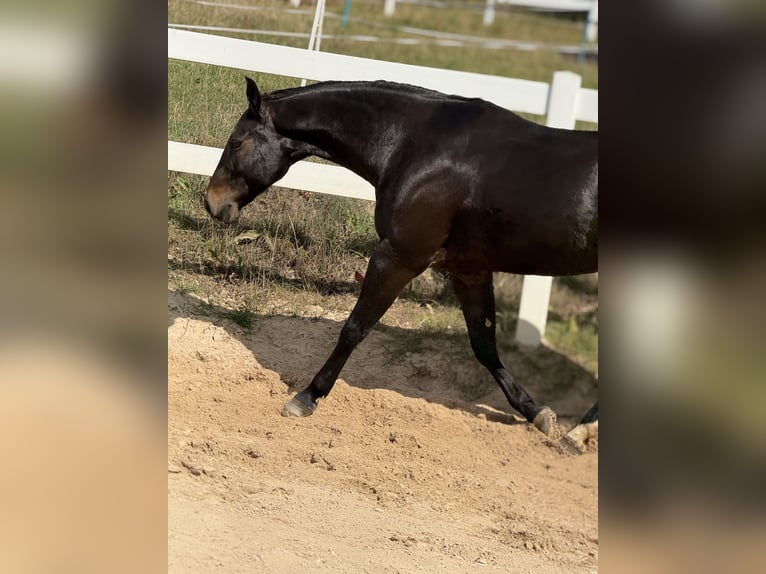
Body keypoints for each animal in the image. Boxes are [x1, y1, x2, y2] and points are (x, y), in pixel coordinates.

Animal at [204, 77, 598, 450]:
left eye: (236, 142)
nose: (211, 202)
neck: (415, 147)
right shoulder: (468, 269)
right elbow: (484, 344)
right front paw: (536, 413)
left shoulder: (399, 257)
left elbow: (355, 328)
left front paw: (307, 397)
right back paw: (578, 432)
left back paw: (581, 432)